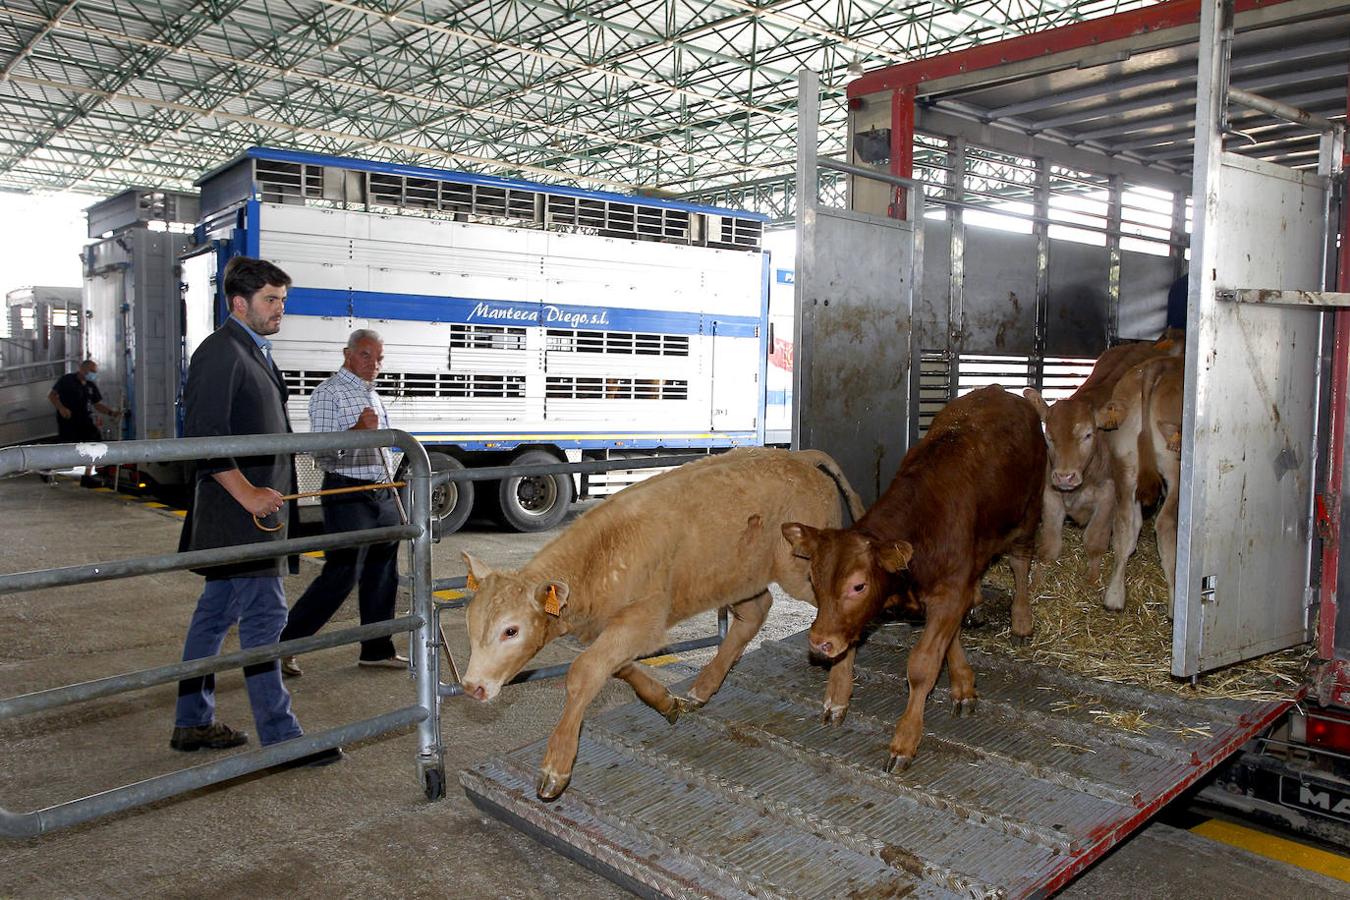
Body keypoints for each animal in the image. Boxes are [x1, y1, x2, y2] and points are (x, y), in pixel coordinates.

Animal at [461, 447, 864, 798]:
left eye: (511, 630)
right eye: (471, 626)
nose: (472, 687)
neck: (600, 558)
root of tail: (800, 457)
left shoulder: (645, 617)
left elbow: (583, 671)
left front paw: (555, 768)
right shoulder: (615, 628)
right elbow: (617, 668)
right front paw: (664, 701)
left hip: (799, 572)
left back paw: (837, 697)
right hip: (739, 576)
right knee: (755, 612)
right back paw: (703, 688)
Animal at [783, 388, 1042, 777]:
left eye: (858, 586)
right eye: (814, 577)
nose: (819, 643)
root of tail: (1003, 392)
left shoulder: (949, 591)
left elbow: (922, 665)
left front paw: (904, 740)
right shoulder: (947, 592)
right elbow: (942, 641)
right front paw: (837, 695)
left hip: (1029, 512)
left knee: (1021, 563)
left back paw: (1022, 621)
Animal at [1026, 337, 1177, 604]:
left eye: (1088, 434)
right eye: (1049, 436)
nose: (1064, 476)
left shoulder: (1108, 496)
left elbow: (1094, 541)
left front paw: (1092, 579)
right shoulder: (1051, 494)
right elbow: (1050, 546)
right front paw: (1036, 583)